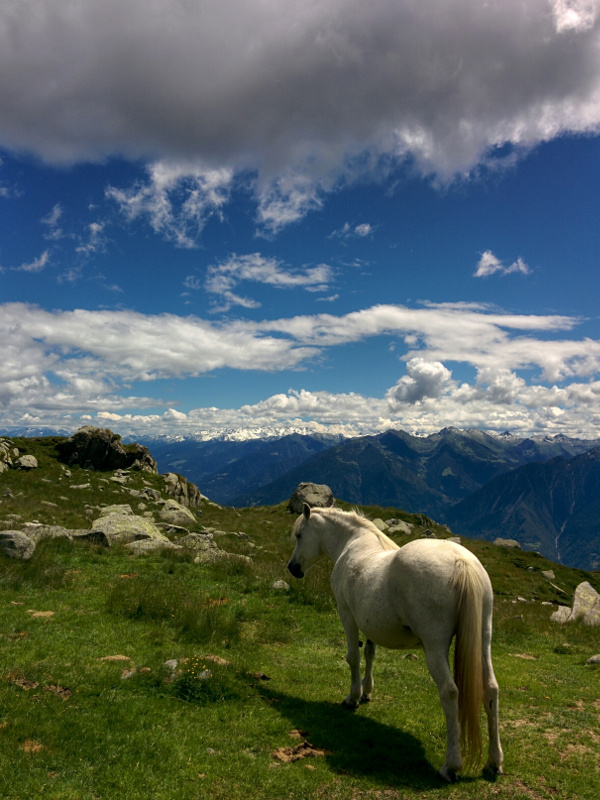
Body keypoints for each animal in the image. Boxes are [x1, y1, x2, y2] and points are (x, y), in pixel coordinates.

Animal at [288, 506, 504, 780]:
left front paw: (353, 697)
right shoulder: (370, 623)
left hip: (435, 648)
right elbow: (370, 653)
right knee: (491, 689)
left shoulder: (347, 614)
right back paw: (494, 762)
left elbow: (353, 657)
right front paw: (367, 692)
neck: (353, 542)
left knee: (450, 692)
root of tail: (461, 562)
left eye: (299, 535)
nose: (292, 568)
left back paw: (451, 766)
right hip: (484, 640)